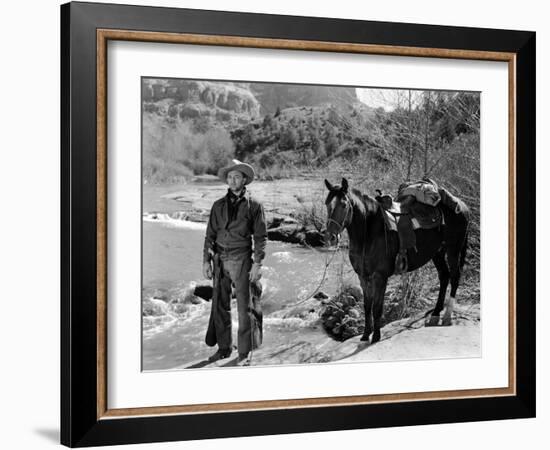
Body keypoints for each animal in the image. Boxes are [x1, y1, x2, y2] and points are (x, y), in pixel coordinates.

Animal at [326, 178, 472, 342]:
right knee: (444, 276)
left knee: (455, 277)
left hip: (453, 249)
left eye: (344, 205)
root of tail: (462, 205)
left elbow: (377, 307)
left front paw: (375, 337)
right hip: (438, 253)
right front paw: (365, 335)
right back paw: (435, 314)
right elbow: (367, 306)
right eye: (327, 204)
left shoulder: (380, 277)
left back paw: (447, 316)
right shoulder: (363, 277)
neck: (369, 232)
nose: (330, 237)